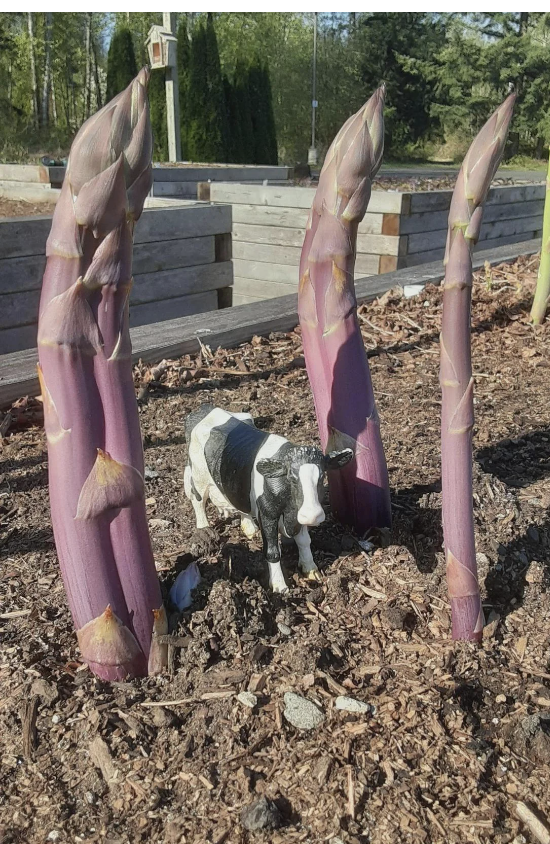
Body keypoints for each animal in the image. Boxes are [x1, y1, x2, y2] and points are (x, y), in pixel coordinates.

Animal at [185, 404, 354, 592]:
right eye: (291, 476)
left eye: (322, 475)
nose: (313, 515)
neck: (288, 508)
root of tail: (206, 408)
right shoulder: (267, 513)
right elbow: (272, 551)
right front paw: (279, 586)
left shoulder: (298, 510)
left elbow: (304, 541)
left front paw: (311, 570)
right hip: (199, 475)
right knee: (197, 499)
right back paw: (203, 529)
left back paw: (249, 528)